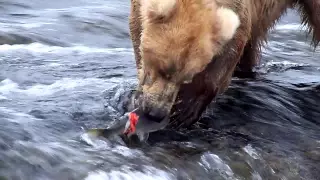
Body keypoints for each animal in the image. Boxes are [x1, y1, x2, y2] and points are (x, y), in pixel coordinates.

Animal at [127, 0, 318, 129]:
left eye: (187, 77)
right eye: (161, 70)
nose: (156, 114)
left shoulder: (240, 12)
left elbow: (229, 54)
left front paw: (186, 112)